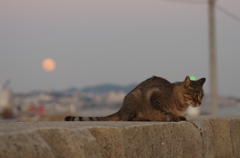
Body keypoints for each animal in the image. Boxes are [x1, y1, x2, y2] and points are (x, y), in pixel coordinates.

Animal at [65, 76, 206, 121]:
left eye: (202, 96)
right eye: (195, 95)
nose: (200, 103)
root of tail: (121, 108)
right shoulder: (154, 96)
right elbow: (165, 112)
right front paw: (173, 117)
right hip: (136, 96)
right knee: (127, 118)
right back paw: (144, 118)